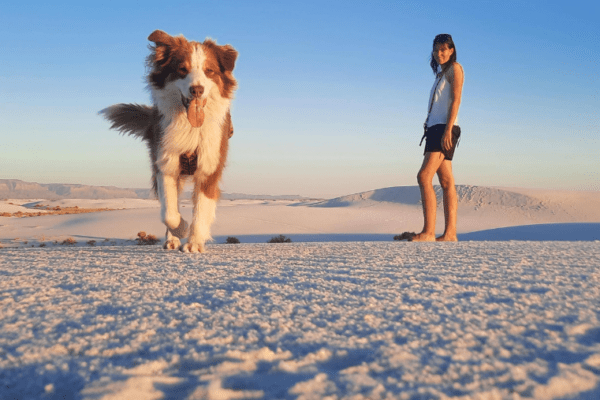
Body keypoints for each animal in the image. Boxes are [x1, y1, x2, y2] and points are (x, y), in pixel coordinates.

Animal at [100, 30, 237, 253]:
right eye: (182, 70)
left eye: (209, 71)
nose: (197, 90)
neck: (191, 128)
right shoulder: (165, 163)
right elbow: (168, 213)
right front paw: (181, 229)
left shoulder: (209, 167)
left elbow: (201, 209)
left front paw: (194, 243)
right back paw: (172, 239)